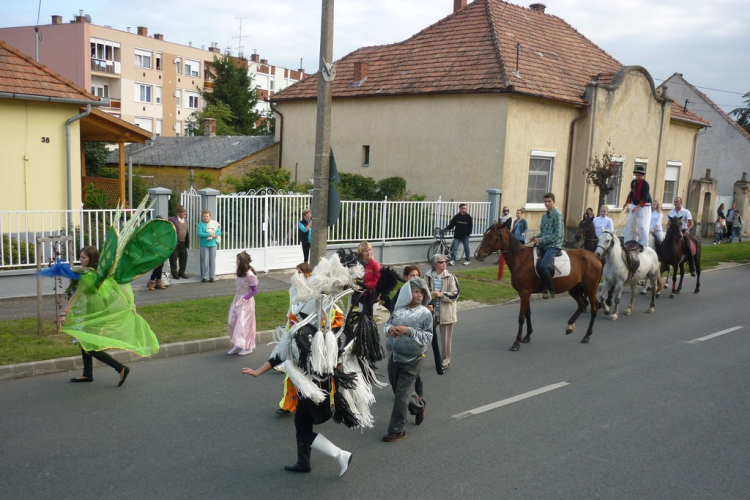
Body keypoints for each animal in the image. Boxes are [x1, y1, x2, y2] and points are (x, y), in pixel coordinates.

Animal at [478, 223, 608, 352]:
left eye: (491, 235)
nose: (478, 254)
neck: (520, 259)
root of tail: (595, 256)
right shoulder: (524, 293)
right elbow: (528, 313)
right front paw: (527, 335)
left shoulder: (525, 292)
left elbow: (521, 317)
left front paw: (517, 342)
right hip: (574, 288)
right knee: (582, 304)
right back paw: (570, 326)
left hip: (590, 288)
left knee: (594, 308)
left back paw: (587, 335)